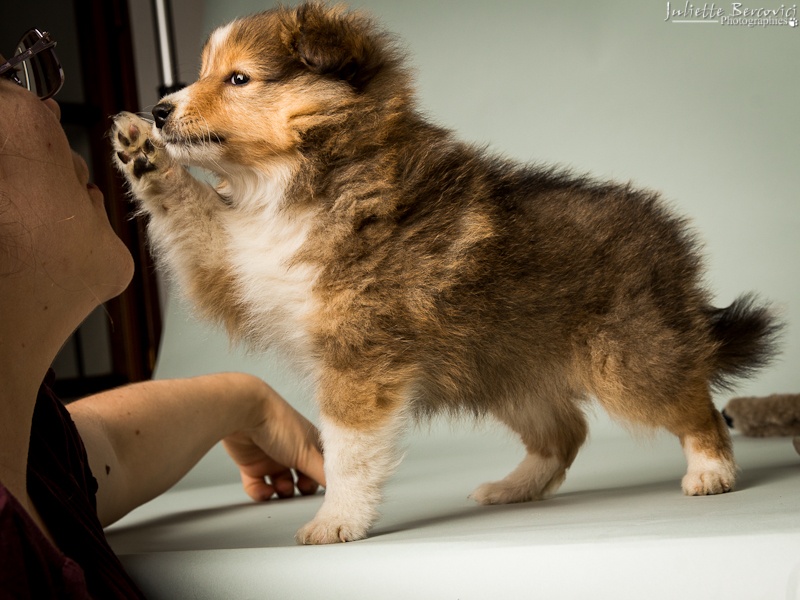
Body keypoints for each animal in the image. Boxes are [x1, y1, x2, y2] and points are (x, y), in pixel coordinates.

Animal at [109, 2, 780, 544]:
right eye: (203, 72)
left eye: (239, 78)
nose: (160, 109)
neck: (294, 182)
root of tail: (670, 243)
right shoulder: (231, 260)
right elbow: (190, 213)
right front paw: (141, 150)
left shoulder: (361, 350)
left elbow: (348, 451)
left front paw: (336, 522)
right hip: (509, 367)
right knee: (567, 430)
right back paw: (514, 487)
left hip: (627, 358)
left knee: (693, 398)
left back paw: (712, 470)